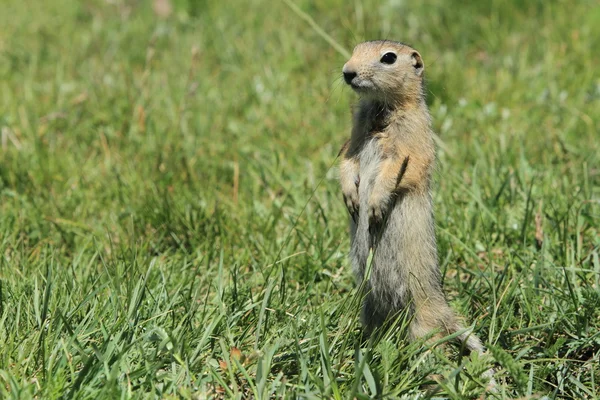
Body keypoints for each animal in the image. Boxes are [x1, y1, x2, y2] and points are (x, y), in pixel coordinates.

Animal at [338, 39, 488, 354]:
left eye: (388, 58)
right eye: (356, 49)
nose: (348, 72)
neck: (381, 108)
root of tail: (442, 310)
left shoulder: (413, 141)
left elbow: (398, 170)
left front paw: (374, 207)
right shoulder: (353, 139)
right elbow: (346, 161)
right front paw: (351, 199)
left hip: (422, 324)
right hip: (370, 308)